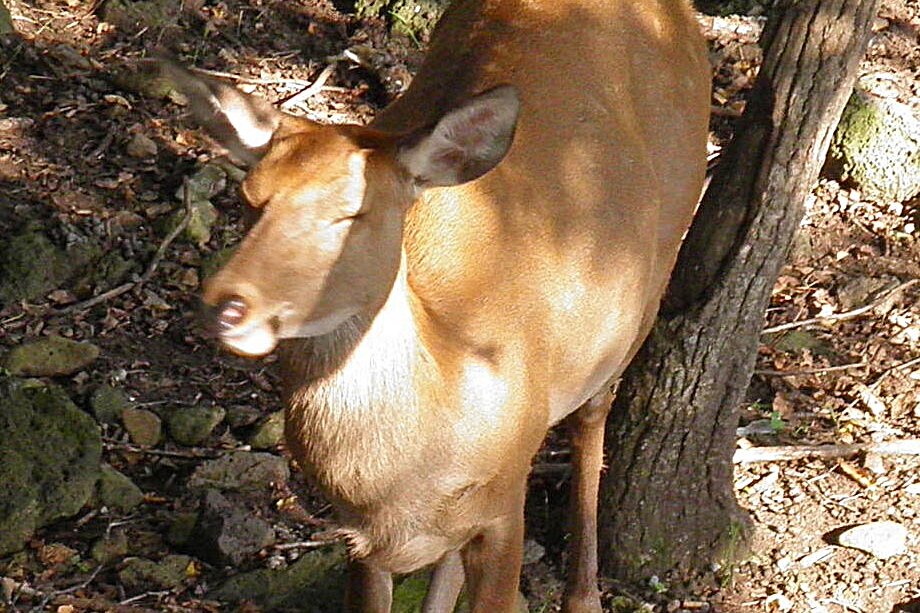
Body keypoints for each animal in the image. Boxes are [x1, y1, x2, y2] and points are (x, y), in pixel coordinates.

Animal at [162, 0, 712, 608]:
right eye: (249, 198)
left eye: (351, 213)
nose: (225, 306)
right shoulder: (359, 540)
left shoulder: (506, 502)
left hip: (657, 264)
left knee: (594, 414)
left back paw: (584, 592)